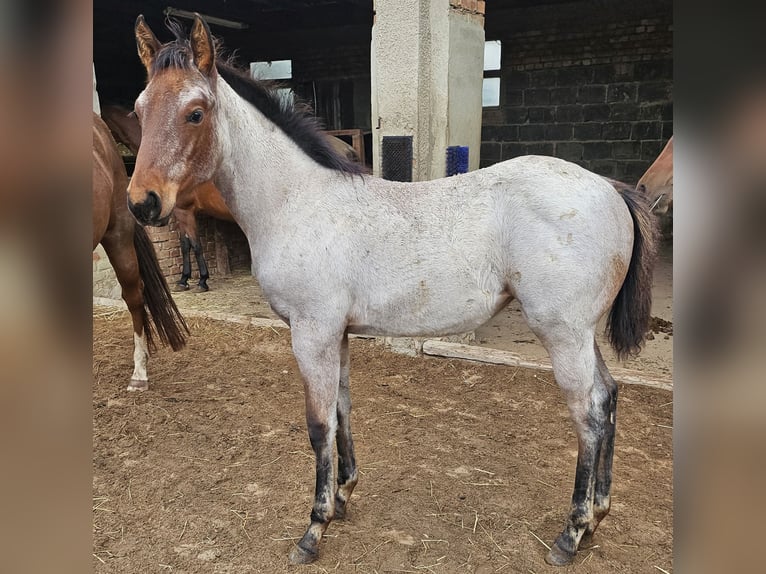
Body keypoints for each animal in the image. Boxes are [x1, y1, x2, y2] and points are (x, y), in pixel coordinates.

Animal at [101, 104, 234, 293]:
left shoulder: (184, 211)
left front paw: (202, 280)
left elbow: (195, 245)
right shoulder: (180, 214)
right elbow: (185, 245)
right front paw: (184, 279)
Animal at [127, 16, 658, 566]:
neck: (297, 201)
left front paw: (313, 529)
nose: (142, 203)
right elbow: (341, 408)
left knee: (589, 415)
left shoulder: (311, 333)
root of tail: (610, 188)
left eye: (195, 112)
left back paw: (571, 534)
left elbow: (318, 424)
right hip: (582, 335)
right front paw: (342, 497)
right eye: (139, 109)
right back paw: (597, 517)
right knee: (608, 396)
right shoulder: (335, 333)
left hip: (563, 335)